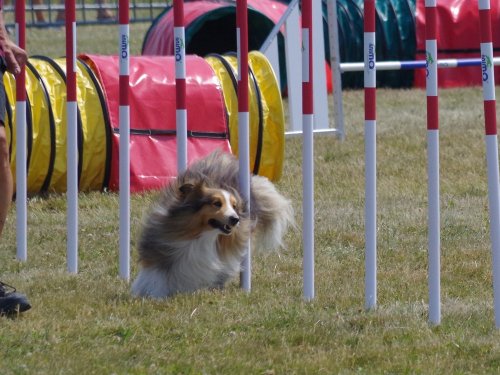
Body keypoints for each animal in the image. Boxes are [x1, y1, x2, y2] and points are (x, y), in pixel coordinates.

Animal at [131, 151, 292, 300]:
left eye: (234, 206)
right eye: (217, 203)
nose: (235, 219)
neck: (204, 234)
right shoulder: (161, 244)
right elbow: (155, 273)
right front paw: (152, 293)